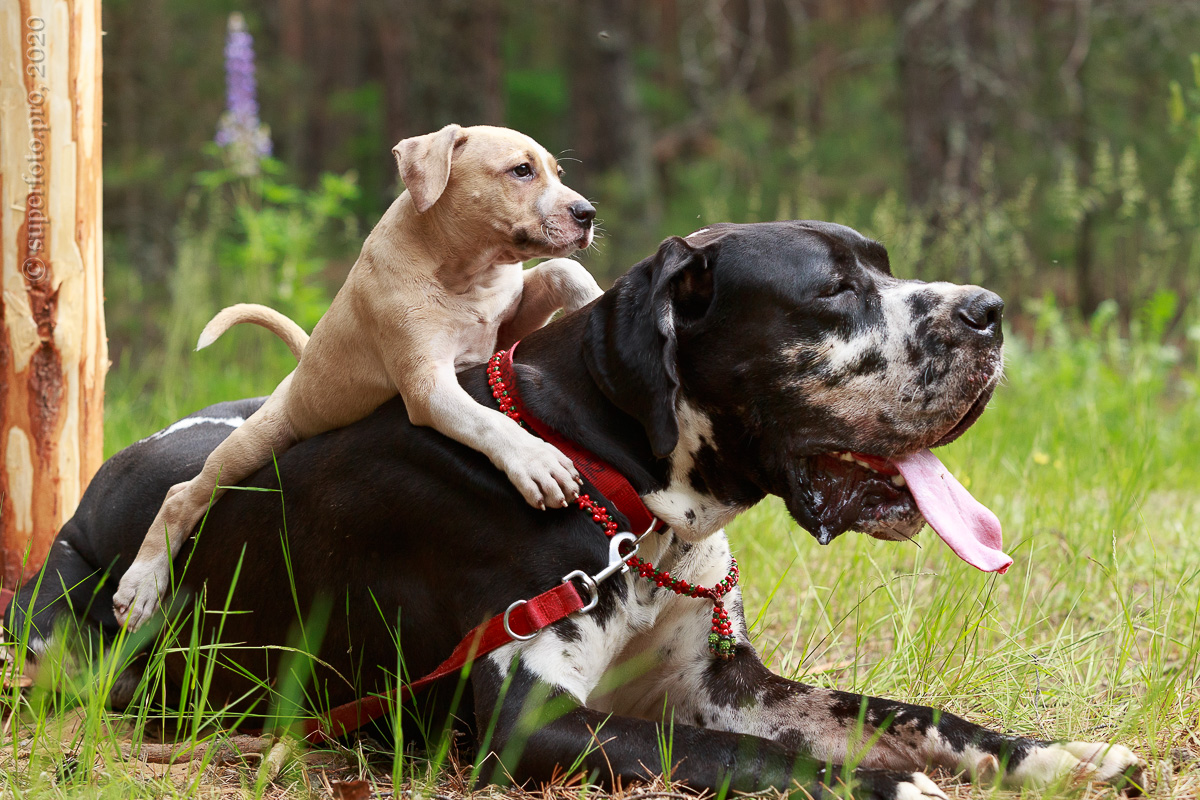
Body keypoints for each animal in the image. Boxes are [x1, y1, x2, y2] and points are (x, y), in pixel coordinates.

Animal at [4, 224, 1137, 800]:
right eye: (830, 292)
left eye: (889, 270)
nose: (988, 311)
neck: (624, 485)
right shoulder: (534, 718)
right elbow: (752, 762)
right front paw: (906, 794)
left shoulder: (727, 685)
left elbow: (904, 715)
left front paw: (1058, 756)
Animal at [112, 123, 604, 633]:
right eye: (521, 171)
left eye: (558, 172)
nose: (587, 213)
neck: (465, 272)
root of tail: (300, 369)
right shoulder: (428, 387)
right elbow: (487, 421)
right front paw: (536, 461)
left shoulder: (506, 322)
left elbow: (561, 268)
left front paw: (596, 298)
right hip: (255, 442)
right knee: (182, 495)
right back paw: (141, 585)